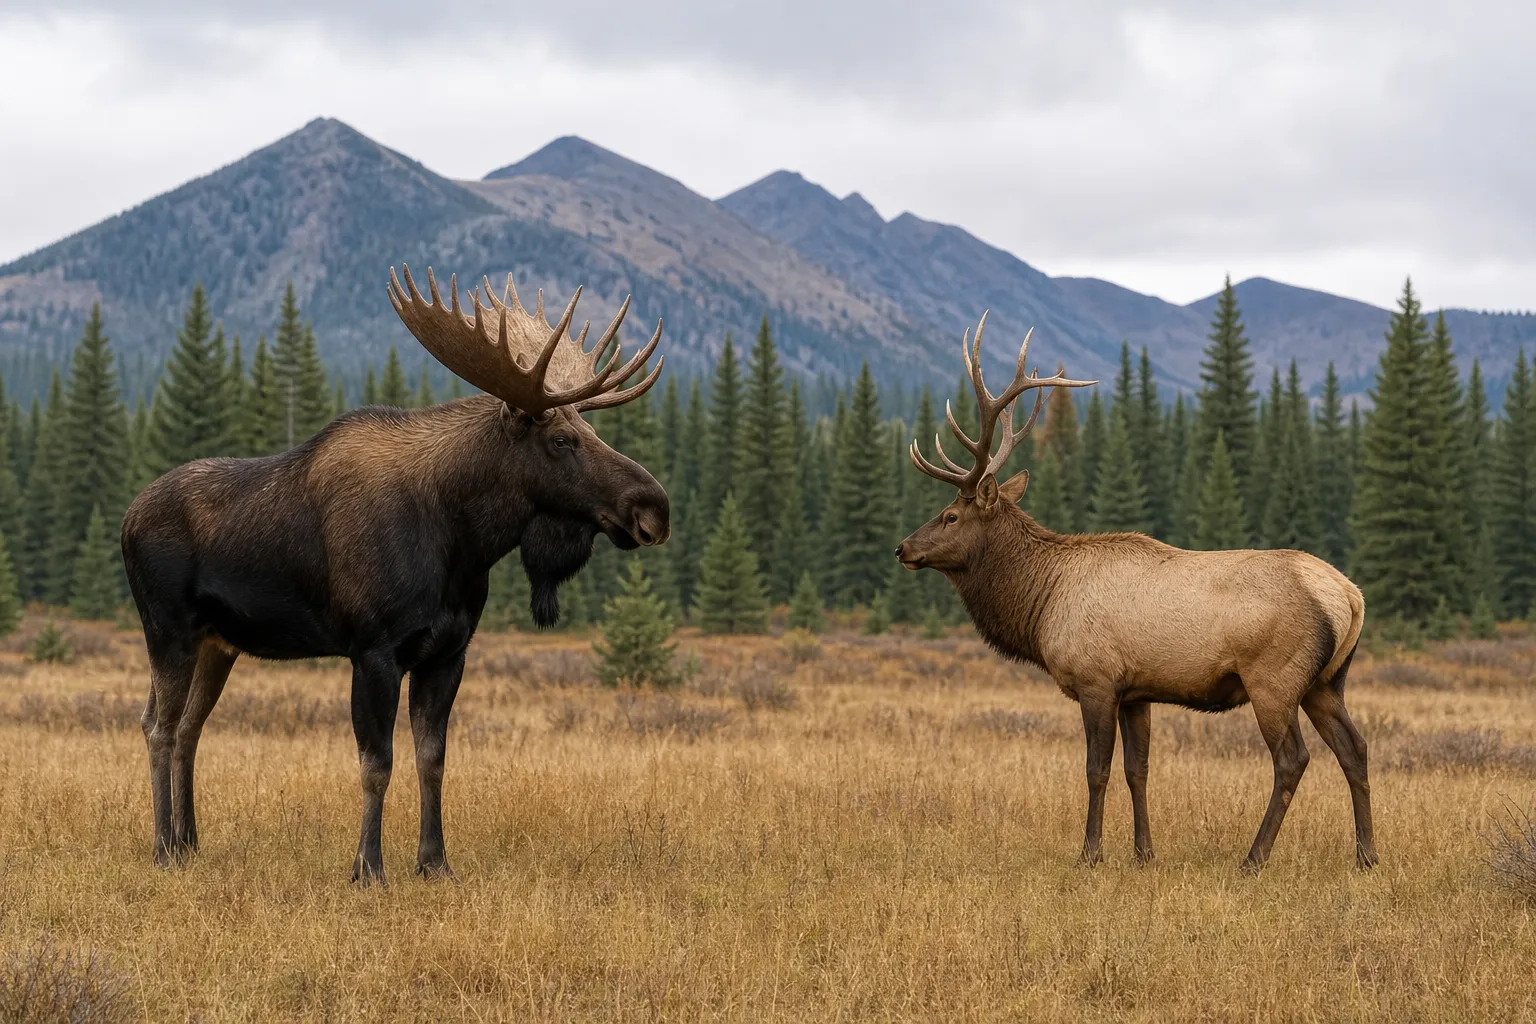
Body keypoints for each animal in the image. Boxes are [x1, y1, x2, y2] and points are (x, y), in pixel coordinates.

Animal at [123, 266, 669, 884]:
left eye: (591, 431)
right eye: (561, 440)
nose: (654, 506)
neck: (460, 540)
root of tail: (126, 519)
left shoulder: (447, 652)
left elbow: (432, 759)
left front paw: (434, 862)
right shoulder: (373, 649)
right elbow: (376, 763)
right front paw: (368, 867)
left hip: (219, 642)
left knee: (188, 726)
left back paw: (189, 842)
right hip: (167, 629)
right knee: (159, 726)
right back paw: (163, 845)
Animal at [894, 315, 1373, 872]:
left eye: (950, 516)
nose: (903, 547)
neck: (1040, 603)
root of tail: (1351, 598)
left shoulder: (1097, 679)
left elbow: (1096, 770)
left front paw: (1090, 854)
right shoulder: (1137, 691)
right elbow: (1137, 770)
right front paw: (1145, 853)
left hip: (1274, 679)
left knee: (1293, 759)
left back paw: (1254, 858)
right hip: (1328, 682)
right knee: (1355, 748)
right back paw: (1367, 856)